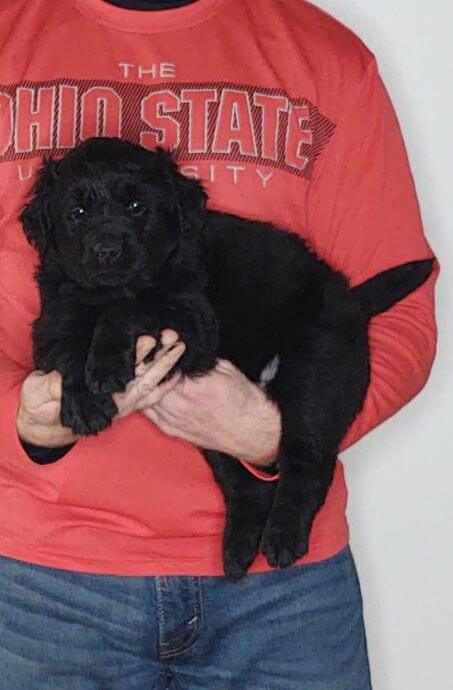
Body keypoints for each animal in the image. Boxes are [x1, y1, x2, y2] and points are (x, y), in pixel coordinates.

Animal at [19, 137, 432, 576]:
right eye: (77, 213)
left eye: (136, 207)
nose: (107, 251)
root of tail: (350, 297)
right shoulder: (52, 323)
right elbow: (69, 349)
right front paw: (84, 403)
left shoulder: (194, 321)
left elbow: (131, 308)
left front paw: (106, 363)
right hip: (218, 432)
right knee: (245, 484)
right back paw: (238, 549)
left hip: (318, 371)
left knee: (308, 461)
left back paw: (284, 539)